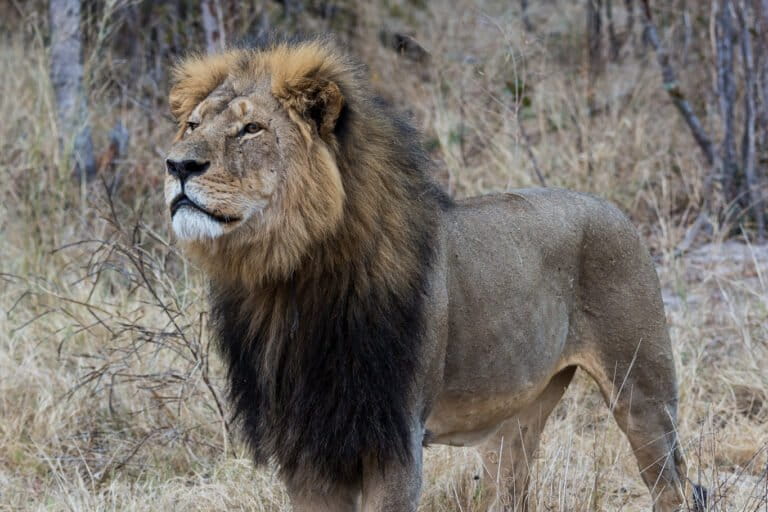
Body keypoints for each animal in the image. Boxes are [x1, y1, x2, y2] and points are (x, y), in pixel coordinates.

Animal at [164, 40, 693, 511]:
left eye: (251, 129)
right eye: (192, 125)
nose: (177, 165)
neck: (287, 282)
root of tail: (612, 208)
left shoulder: (394, 443)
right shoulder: (305, 451)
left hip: (643, 392)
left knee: (674, 487)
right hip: (516, 418)